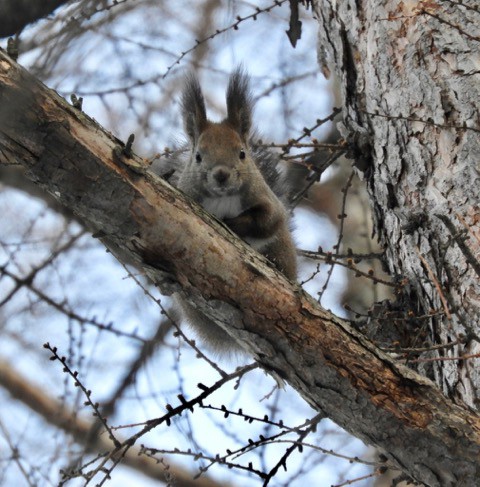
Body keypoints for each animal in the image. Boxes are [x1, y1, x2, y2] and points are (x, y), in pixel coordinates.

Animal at [161, 66, 296, 352]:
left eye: (242, 153)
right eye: (198, 156)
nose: (221, 174)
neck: (223, 198)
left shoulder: (266, 201)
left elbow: (267, 221)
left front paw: (233, 224)